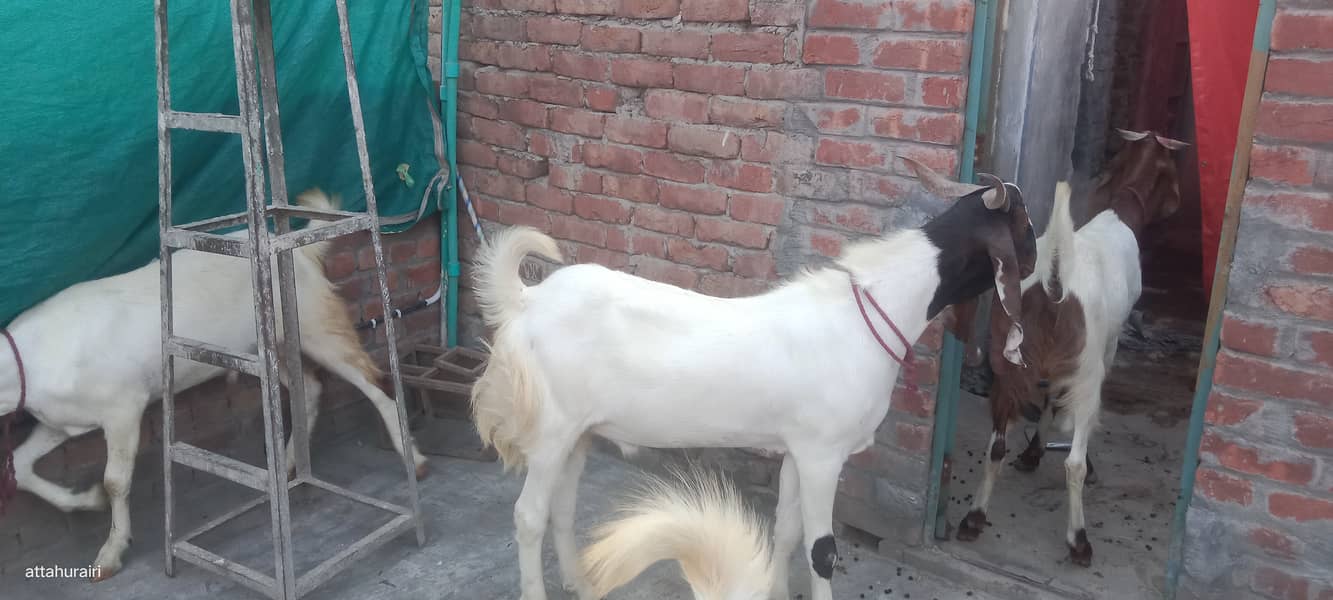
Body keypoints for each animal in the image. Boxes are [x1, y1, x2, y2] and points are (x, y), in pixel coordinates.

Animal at [0, 189, 427, 580]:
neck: (32, 360)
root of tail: (302, 249)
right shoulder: (58, 421)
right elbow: (19, 466)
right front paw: (86, 501)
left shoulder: (123, 406)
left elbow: (115, 481)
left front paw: (110, 553)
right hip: (271, 344)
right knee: (309, 387)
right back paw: (289, 464)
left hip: (318, 325)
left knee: (374, 383)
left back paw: (415, 460)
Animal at [951, 129, 1187, 567]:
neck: (1118, 214)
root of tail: (1053, 282)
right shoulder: (1107, 344)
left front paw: (1033, 451)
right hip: (1086, 370)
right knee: (1073, 461)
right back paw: (1079, 539)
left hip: (1006, 365)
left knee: (995, 446)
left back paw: (974, 516)